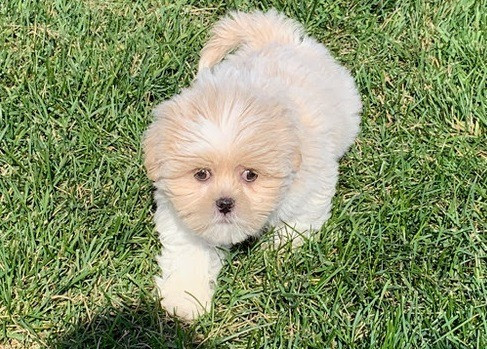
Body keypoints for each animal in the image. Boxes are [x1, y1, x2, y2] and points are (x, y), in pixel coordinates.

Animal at [143, 8, 360, 320]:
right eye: (201, 174)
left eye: (250, 175)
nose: (224, 203)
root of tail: (276, 38)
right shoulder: (180, 216)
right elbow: (190, 254)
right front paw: (185, 299)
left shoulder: (312, 185)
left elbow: (299, 223)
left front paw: (275, 253)